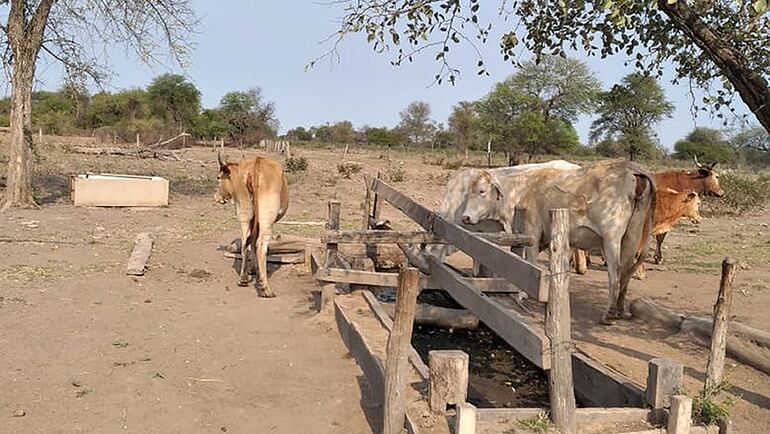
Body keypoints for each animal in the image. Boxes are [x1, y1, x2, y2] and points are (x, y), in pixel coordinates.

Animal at [213, 154, 288, 296]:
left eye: (218, 177)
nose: (216, 197)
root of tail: (257, 164)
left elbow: (250, 244)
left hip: (244, 216)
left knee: (244, 244)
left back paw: (243, 279)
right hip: (266, 220)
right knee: (261, 246)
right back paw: (265, 288)